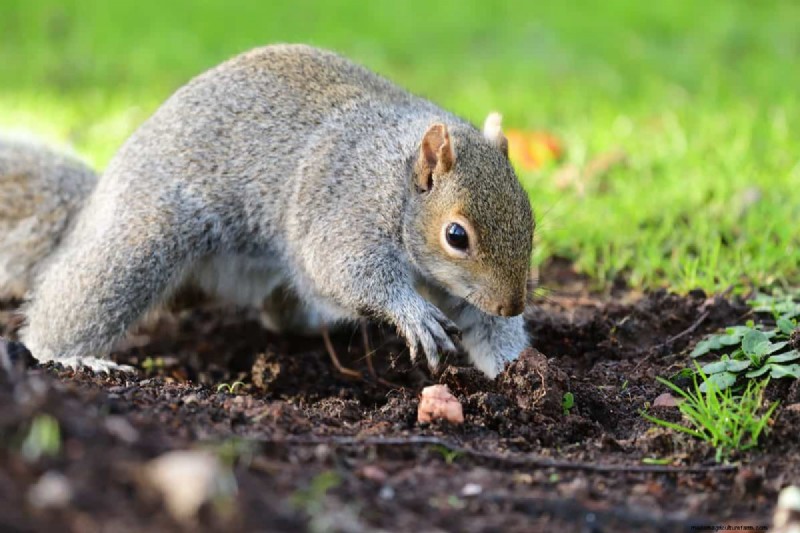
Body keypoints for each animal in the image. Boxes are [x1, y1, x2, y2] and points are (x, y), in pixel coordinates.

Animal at [9, 44, 535, 378]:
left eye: (530, 218)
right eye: (456, 236)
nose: (513, 304)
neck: (397, 181)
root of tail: (97, 200)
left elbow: (482, 324)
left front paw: (517, 369)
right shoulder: (345, 207)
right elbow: (346, 268)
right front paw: (412, 314)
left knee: (281, 311)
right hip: (146, 236)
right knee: (80, 295)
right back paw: (69, 357)